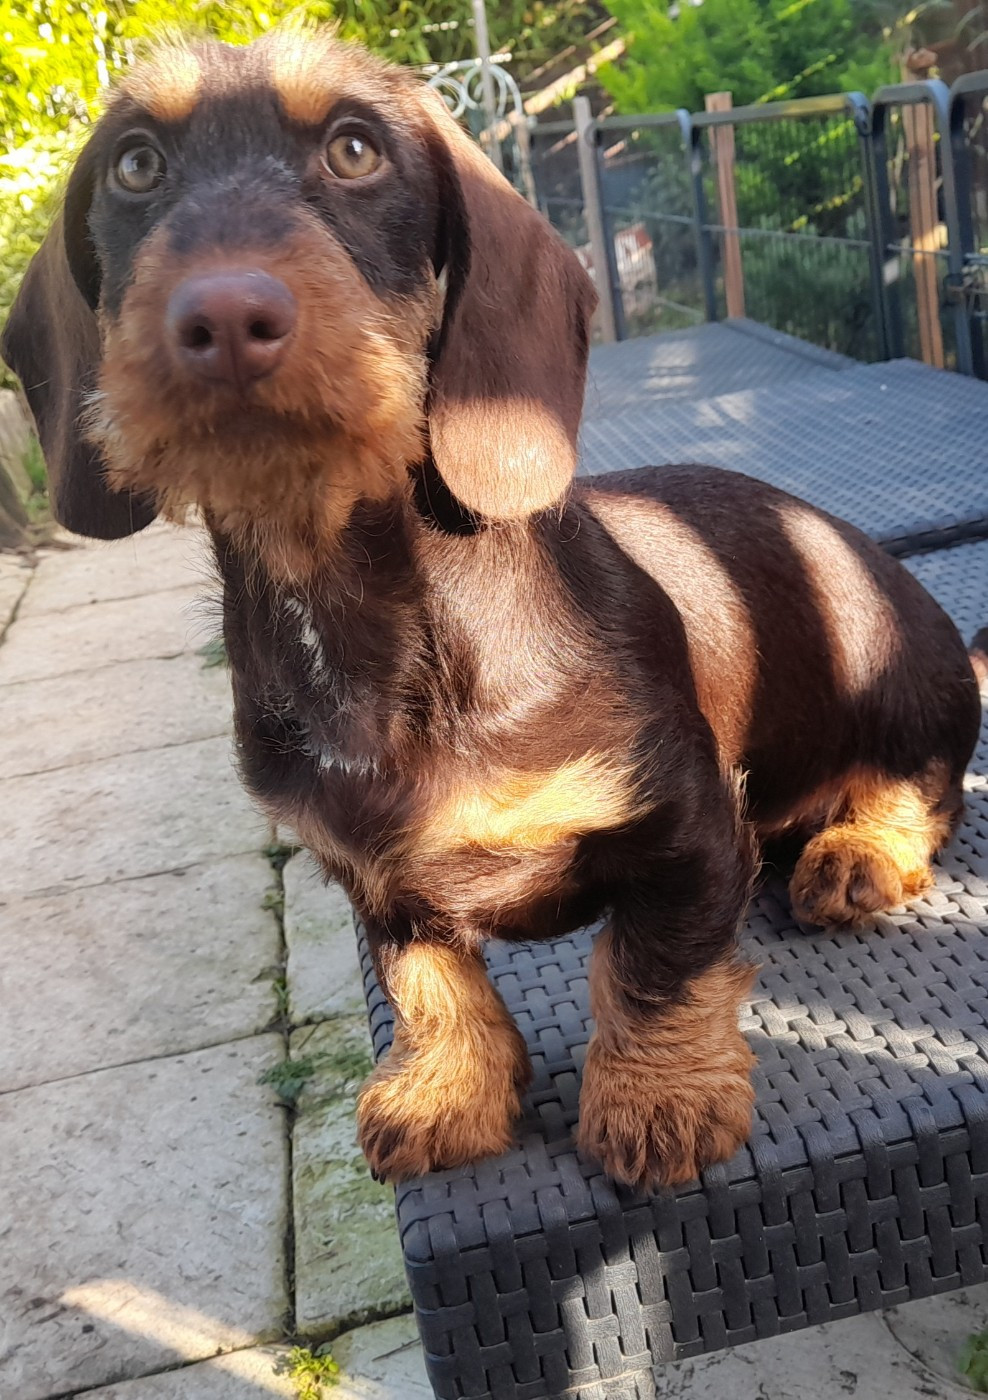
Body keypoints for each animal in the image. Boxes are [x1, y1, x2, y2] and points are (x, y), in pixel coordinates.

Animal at [3, 29, 981, 1192]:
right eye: (136, 165)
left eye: (354, 149)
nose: (224, 316)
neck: (362, 617)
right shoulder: (371, 878)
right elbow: (428, 981)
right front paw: (446, 1091)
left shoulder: (688, 826)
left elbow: (649, 964)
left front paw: (658, 1098)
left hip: (898, 679)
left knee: (923, 787)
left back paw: (858, 849)